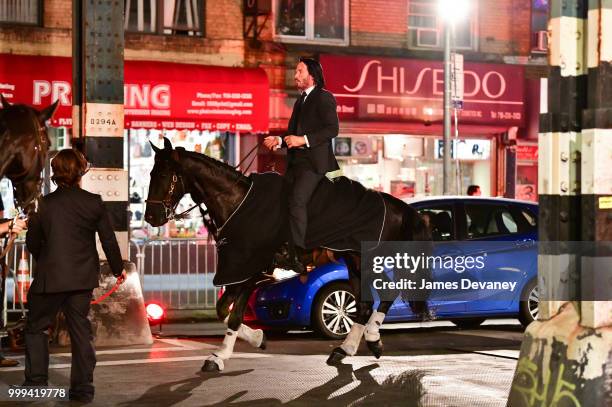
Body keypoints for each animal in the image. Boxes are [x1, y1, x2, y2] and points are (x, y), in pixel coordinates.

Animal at [145, 139, 430, 372]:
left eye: (164, 174)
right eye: (151, 173)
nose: (151, 217)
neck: (236, 202)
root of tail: (398, 206)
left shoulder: (250, 271)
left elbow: (232, 314)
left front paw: (220, 356)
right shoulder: (240, 271)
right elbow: (223, 310)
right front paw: (257, 338)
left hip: (369, 260)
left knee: (385, 294)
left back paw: (367, 339)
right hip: (354, 260)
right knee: (365, 303)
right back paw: (349, 348)